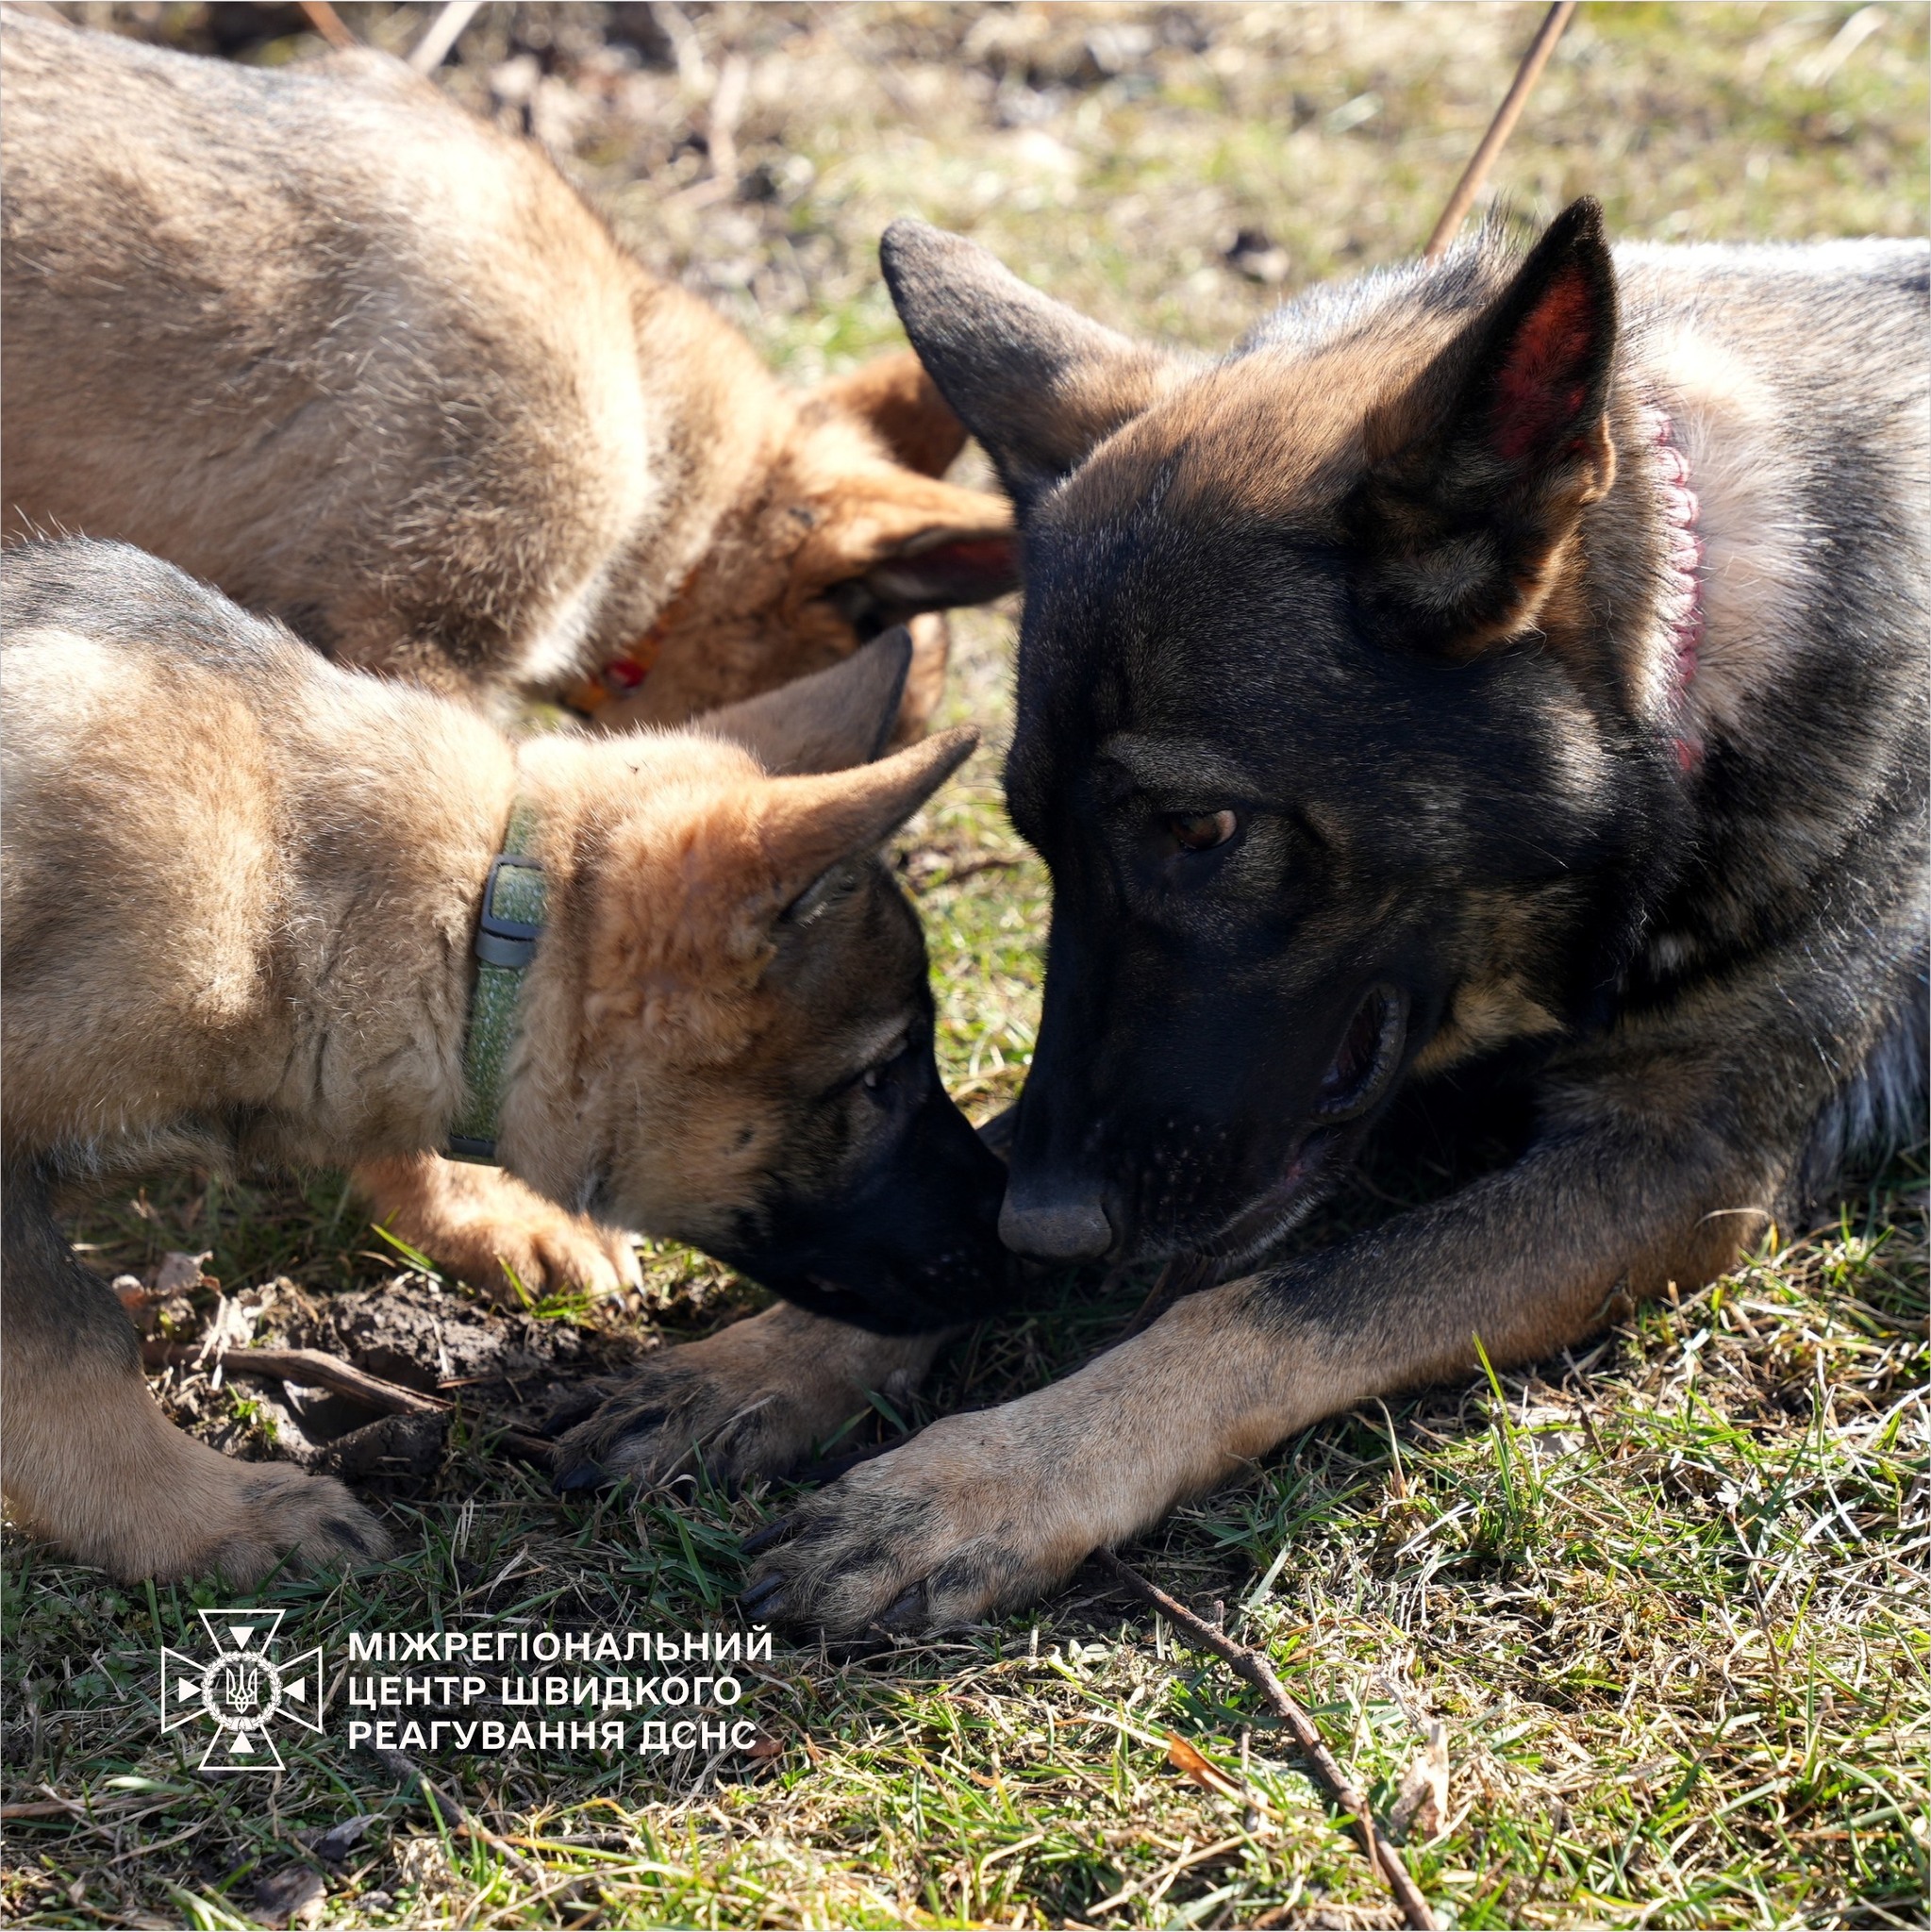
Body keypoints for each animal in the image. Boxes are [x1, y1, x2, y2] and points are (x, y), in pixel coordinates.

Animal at [729, 204, 1923, 1630]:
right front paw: (766, 1351)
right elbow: (983, 1146)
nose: (1048, 1231)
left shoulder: (1666, 1168)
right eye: (1034, 839)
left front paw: (985, 1479)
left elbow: (1263, 1305)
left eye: (1200, 830)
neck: (1686, 664)